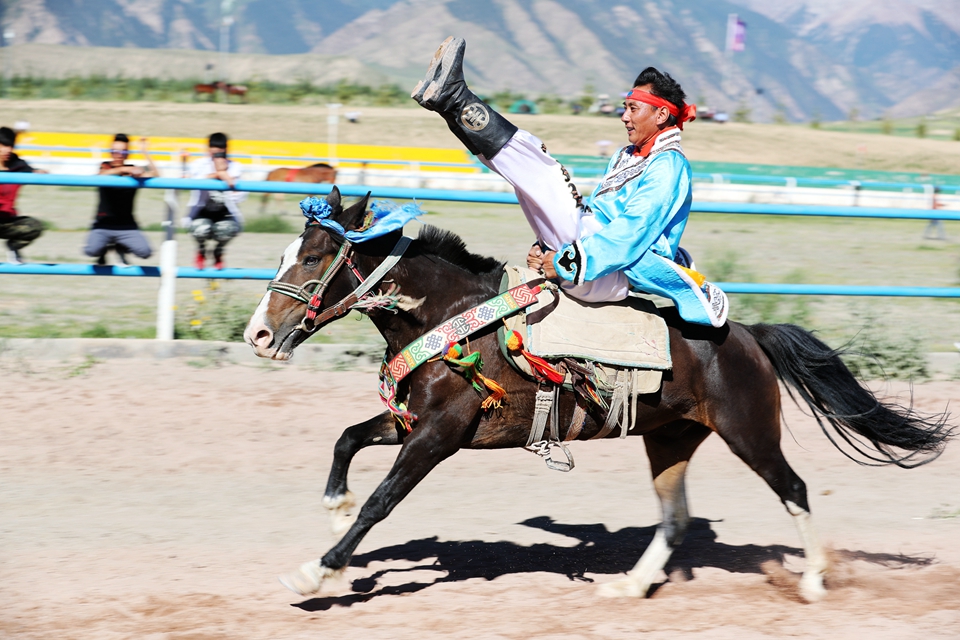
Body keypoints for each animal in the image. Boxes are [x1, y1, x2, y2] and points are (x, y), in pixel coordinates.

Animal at [244, 188, 948, 604]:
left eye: (312, 258)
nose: (258, 334)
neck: (452, 319)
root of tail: (747, 335)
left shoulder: (441, 434)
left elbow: (382, 502)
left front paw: (319, 569)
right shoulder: (414, 421)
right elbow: (347, 440)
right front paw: (335, 514)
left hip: (749, 432)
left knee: (794, 489)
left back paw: (812, 582)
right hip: (671, 438)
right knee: (676, 517)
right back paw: (630, 586)